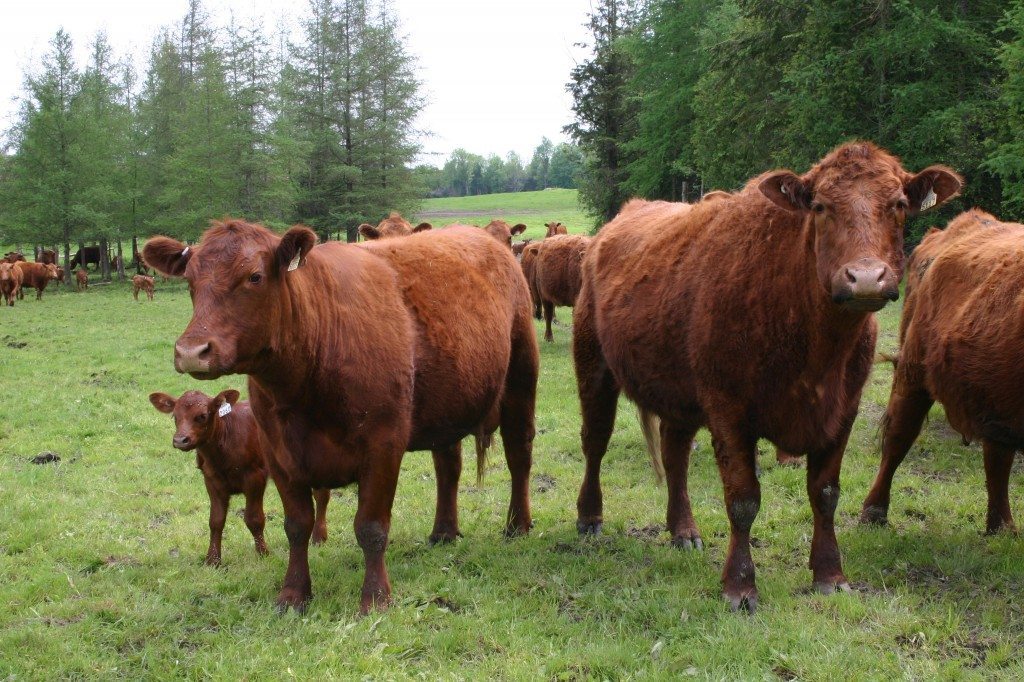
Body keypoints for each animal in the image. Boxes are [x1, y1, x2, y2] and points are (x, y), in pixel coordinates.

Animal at [149, 389, 331, 566]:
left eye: (202, 416)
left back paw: (318, 537)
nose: (180, 440)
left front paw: (263, 553)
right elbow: (215, 520)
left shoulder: (255, 477)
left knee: (322, 496)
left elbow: (254, 518)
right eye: (175, 416)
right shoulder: (211, 480)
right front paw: (212, 560)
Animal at [572, 142, 961, 613]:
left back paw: (683, 530)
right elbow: (743, 499)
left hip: (679, 393)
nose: (866, 277)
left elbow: (825, 493)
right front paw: (740, 586)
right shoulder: (728, 411)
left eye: (899, 204)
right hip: (594, 367)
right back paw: (590, 517)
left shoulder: (842, 410)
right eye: (820, 206)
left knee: (674, 453)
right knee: (595, 441)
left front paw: (830, 574)